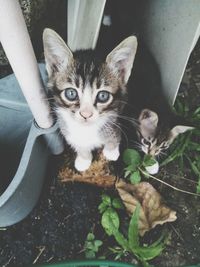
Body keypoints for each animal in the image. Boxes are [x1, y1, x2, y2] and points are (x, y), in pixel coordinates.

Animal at [43, 28, 138, 172]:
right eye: (71, 93)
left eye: (103, 96)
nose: (86, 114)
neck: (86, 130)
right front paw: (84, 159)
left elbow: (114, 132)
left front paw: (111, 151)